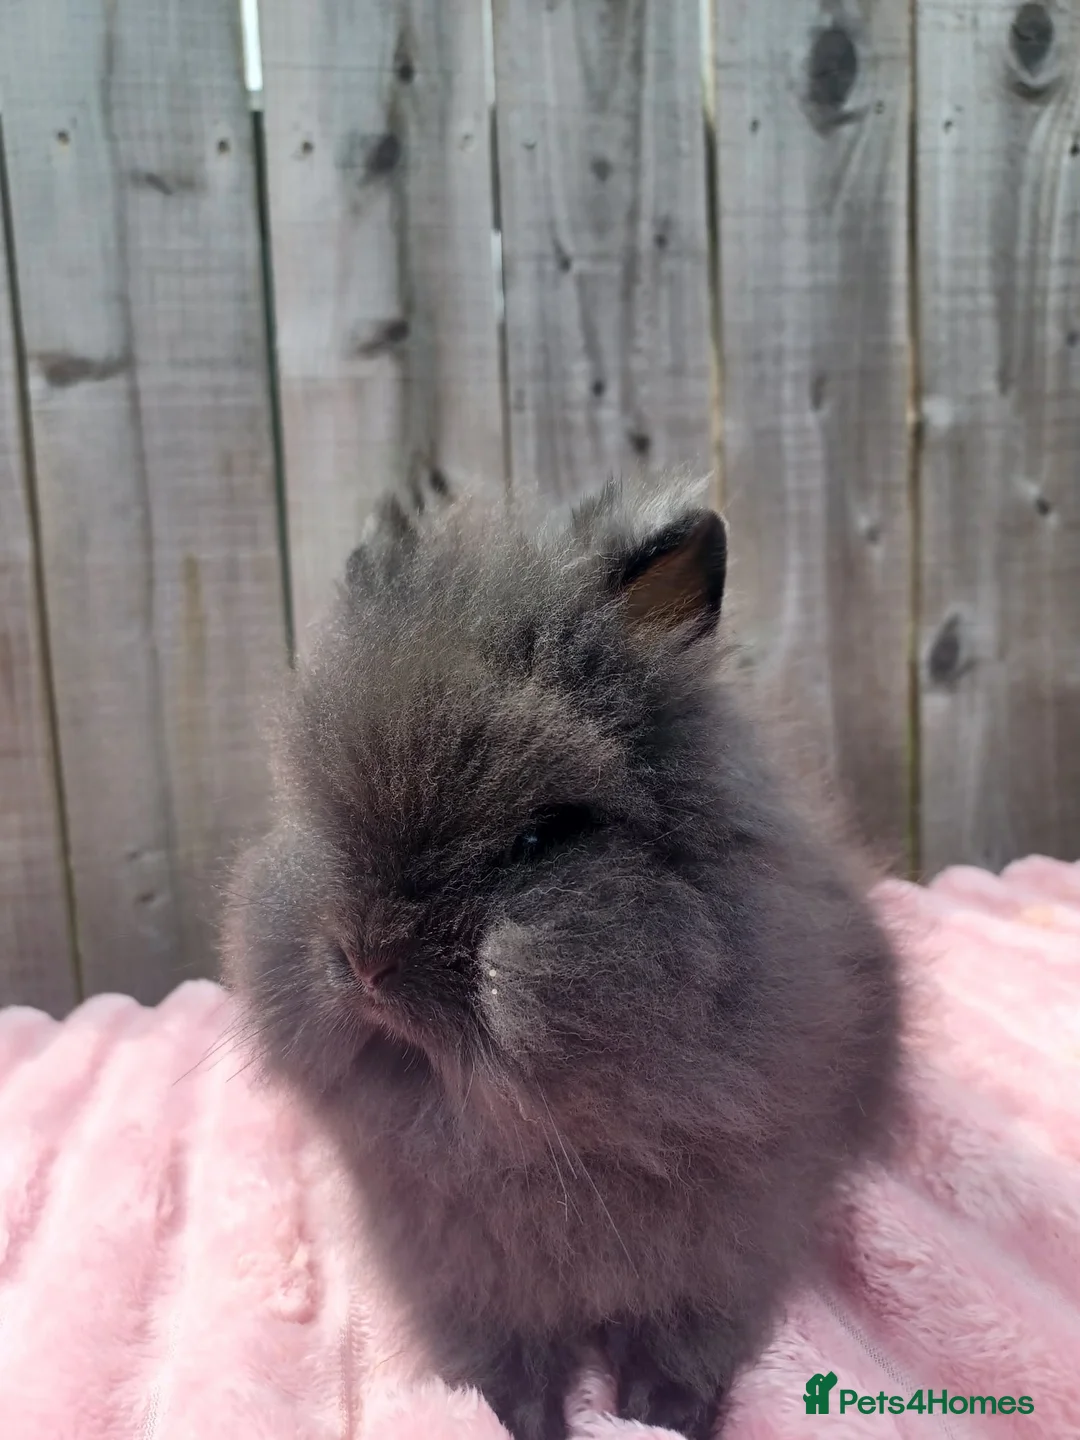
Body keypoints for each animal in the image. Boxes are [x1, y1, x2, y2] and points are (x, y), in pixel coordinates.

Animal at [222, 471, 902, 1440]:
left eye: (538, 839)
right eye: (316, 815)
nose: (365, 961)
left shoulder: (728, 1242)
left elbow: (683, 1343)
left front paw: (663, 1416)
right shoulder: (463, 1283)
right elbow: (502, 1373)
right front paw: (525, 1421)